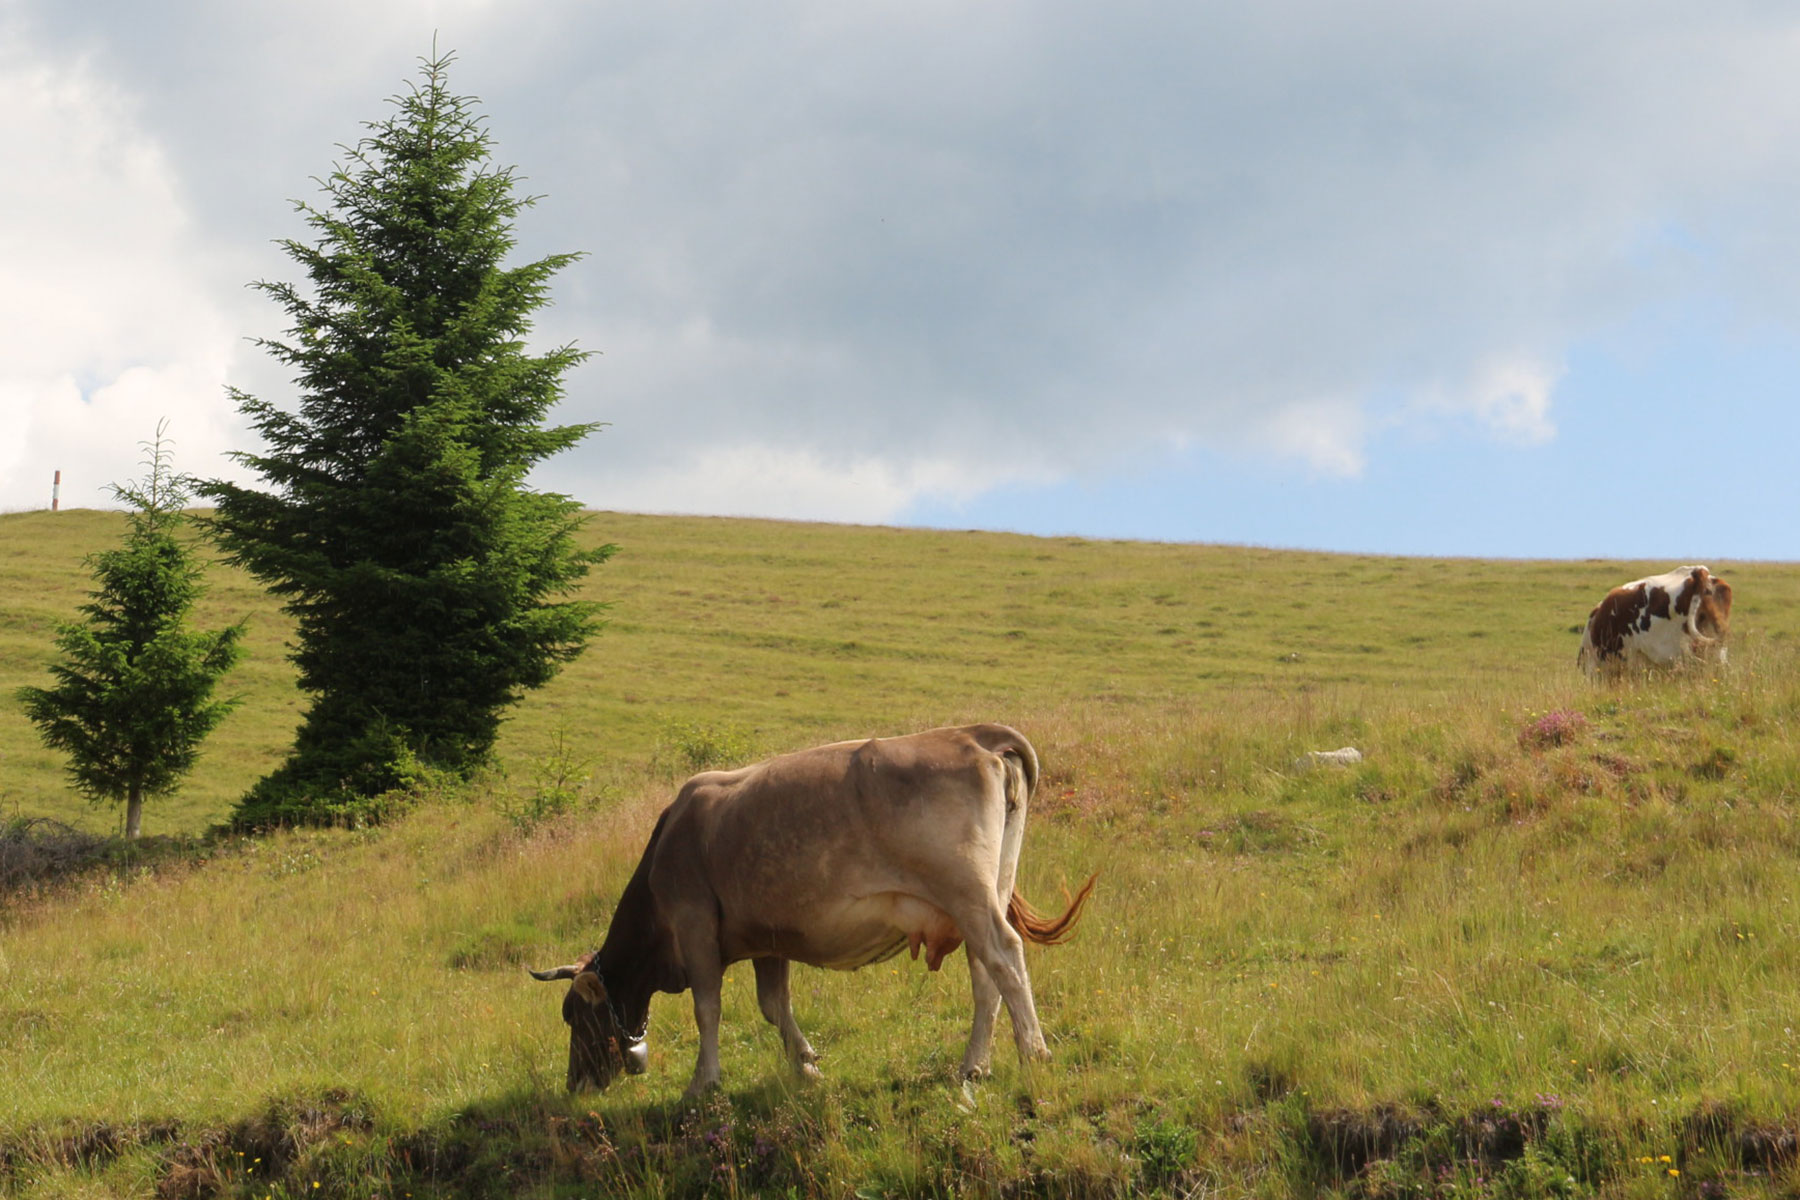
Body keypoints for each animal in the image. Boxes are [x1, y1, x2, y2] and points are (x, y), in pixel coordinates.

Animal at [529, 723, 1094, 1101]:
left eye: (572, 1014)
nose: (574, 1084)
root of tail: (971, 733)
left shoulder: (694, 925)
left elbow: (707, 1008)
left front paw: (702, 1083)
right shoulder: (766, 937)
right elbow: (773, 1005)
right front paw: (805, 1065)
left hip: (965, 891)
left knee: (1005, 956)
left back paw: (1034, 1053)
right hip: (986, 890)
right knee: (986, 973)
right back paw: (974, 1065)